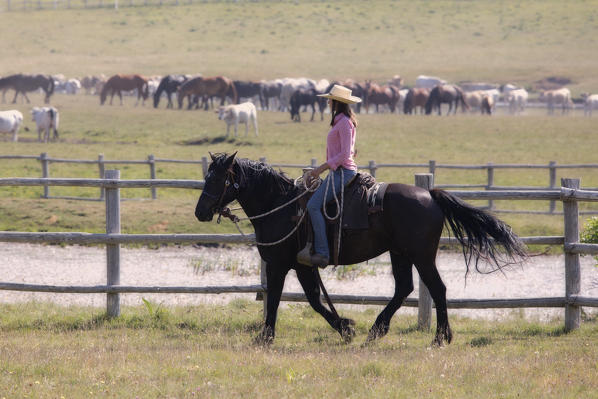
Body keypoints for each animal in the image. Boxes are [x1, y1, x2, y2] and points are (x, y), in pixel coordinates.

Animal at [195, 153, 528, 346]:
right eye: (206, 176)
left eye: (218, 178)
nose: (200, 212)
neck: (281, 205)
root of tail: (430, 195)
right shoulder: (303, 265)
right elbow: (315, 300)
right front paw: (346, 328)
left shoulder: (279, 265)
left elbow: (278, 299)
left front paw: (265, 337)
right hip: (400, 254)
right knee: (404, 288)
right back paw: (376, 330)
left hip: (421, 256)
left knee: (437, 288)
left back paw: (439, 337)